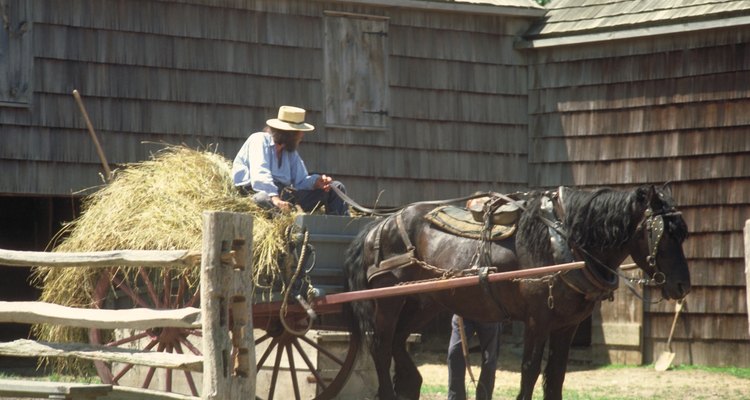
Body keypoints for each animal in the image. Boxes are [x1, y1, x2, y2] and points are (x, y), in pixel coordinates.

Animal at [344, 186, 692, 400]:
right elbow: (530, 371)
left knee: (398, 342)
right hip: (387, 302)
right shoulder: (538, 321)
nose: (682, 286)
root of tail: (380, 225)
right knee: (380, 346)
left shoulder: (567, 326)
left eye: (683, 233)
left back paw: (409, 383)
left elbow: (556, 375)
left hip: (423, 302)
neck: (564, 242)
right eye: (660, 234)